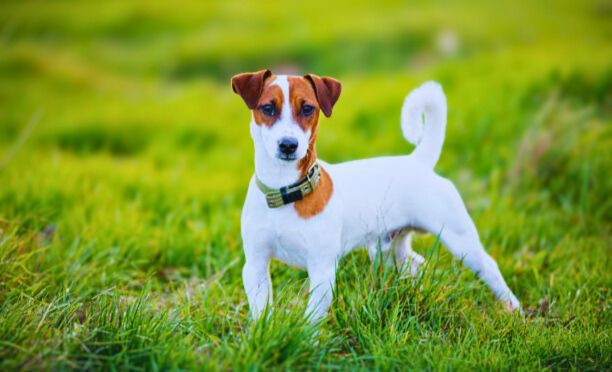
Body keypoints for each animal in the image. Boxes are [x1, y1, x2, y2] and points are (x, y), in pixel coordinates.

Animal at [232, 70, 520, 322]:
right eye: (268, 108)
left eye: (307, 109)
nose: (288, 145)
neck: (285, 192)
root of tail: (417, 161)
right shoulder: (255, 265)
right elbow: (261, 309)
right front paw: (263, 331)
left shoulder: (322, 269)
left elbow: (311, 319)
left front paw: (306, 340)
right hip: (390, 248)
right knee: (416, 263)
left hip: (459, 240)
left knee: (489, 267)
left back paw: (514, 310)